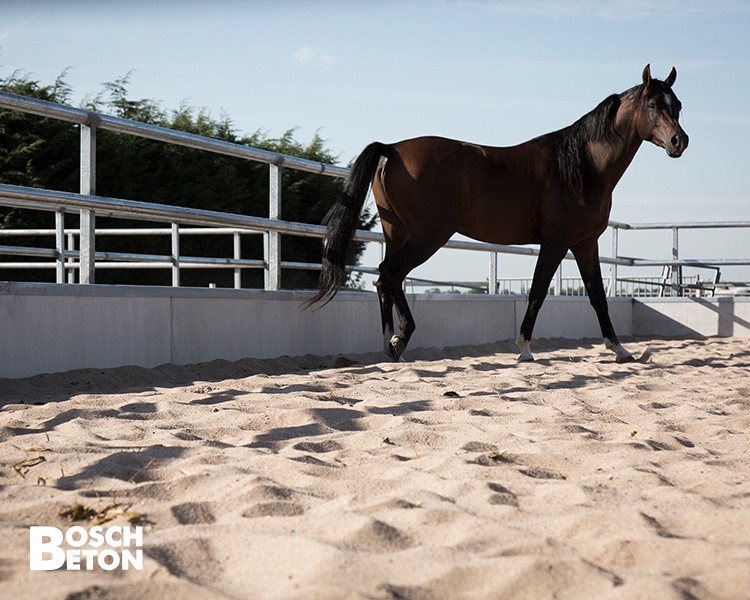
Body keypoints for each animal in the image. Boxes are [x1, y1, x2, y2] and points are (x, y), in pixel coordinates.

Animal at [308, 67, 692, 364]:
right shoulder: (556, 242)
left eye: (677, 105)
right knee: (390, 274)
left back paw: (391, 346)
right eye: (653, 104)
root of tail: (392, 149)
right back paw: (399, 340)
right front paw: (524, 349)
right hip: (427, 236)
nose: (679, 141)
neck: (582, 166)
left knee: (385, 280)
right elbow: (537, 292)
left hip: (397, 233)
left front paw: (620, 350)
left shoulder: (585, 244)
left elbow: (598, 297)